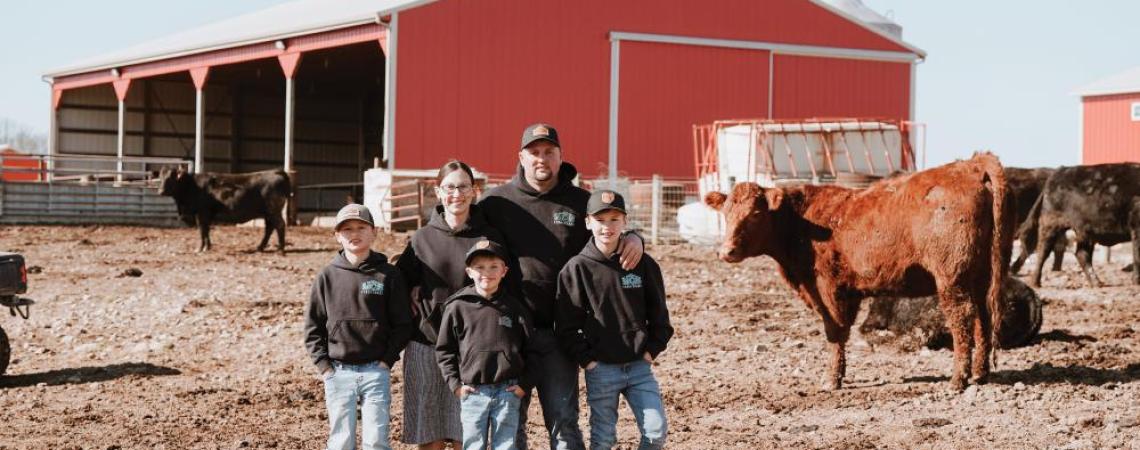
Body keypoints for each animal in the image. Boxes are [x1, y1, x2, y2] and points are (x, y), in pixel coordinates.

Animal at [158, 168, 291, 255]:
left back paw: (280, 249)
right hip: (268, 213)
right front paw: (207, 247)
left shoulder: (201, 213)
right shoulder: (206, 215)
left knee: (279, 225)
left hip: (273, 211)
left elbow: (202, 230)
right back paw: (260, 247)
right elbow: (206, 231)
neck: (192, 185)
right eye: (161, 177)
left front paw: (200, 248)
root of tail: (275, 171)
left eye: (171, 178)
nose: (160, 191)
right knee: (269, 228)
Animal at [702, 153, 1016, 391]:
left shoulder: (828, 287)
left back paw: (958, 380)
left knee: (962, 318)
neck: (802, 223)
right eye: (726, 213)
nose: (726, 251)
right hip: (980, 275)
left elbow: (834, 332)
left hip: (951, 275)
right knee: (983, 317)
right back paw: (980, 374)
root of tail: (972, 164)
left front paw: (832, 379)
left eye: (755, 214)